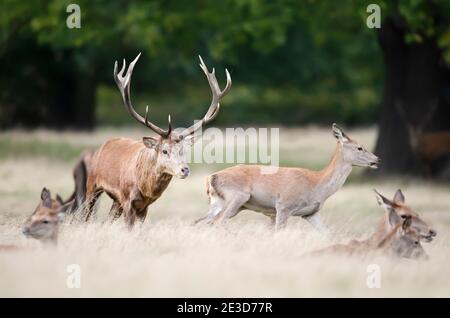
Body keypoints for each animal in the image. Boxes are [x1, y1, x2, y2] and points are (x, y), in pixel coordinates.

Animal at [84, 54, 232, 229]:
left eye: (183, 150)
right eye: (164, 150)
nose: (185, 170)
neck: (145, 188)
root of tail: (102, 146)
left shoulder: (144, 206)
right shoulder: (127, 199)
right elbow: (128, 229)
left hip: (116, 201)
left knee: (106, 220)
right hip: (92, 185)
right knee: (84, 214)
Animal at [197, 123, 380, 230]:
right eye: (359, 147)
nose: (377, 159)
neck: (316, 185)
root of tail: (210, 178)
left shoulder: (311, 213)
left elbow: (327, 234)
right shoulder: (284, 206)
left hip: (220, 202)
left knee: (200, 222)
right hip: (237, 197)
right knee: (217, 222)